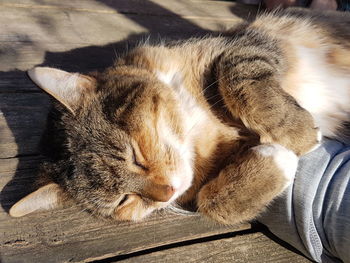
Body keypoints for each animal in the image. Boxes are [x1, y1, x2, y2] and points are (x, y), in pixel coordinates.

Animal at [8, 9, 350, 226]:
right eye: (124, 201)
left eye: (135, 156)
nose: (167, 193)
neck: (194, 125)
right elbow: (210, 203)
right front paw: (278, 159)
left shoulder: (246, 43)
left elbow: (235, 72)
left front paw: (297, 133)